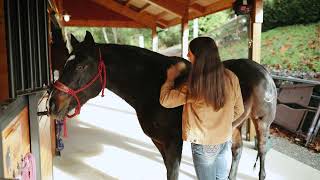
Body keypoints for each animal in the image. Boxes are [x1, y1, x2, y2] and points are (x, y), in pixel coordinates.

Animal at [48, 31, 276, 180]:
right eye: (66, 63)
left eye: (82, 66)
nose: (52, 104)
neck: (153, 85)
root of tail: (264, 71)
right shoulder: (159, 141)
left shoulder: (174, 142)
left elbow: (172, 173)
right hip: (235, 125)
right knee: (237, 151)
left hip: (262, 123)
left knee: (263, 151)